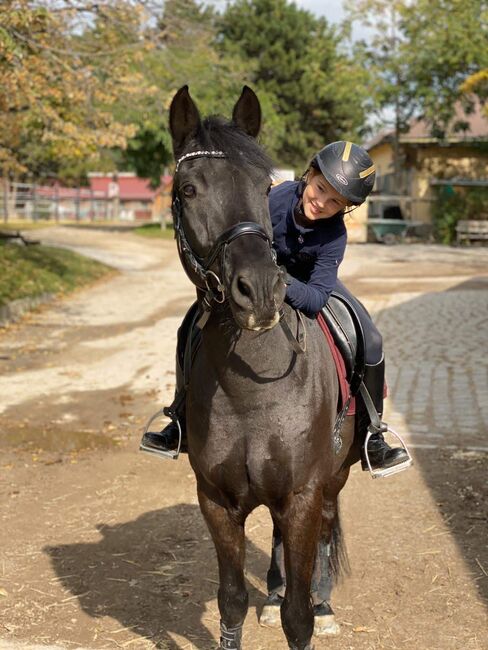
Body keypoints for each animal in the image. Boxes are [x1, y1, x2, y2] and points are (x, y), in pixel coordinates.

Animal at [168, 86, 358, 648]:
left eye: (263, 184)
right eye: (188, 188)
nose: (260, 291)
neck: (251, 389)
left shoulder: (303, 495)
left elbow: (299, 617)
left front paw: (310, 609)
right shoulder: (215, 501)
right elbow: (231, 601)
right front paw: (265, 602)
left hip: (333, 480)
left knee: (325, 530)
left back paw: (324, 603)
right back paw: (272, 595)